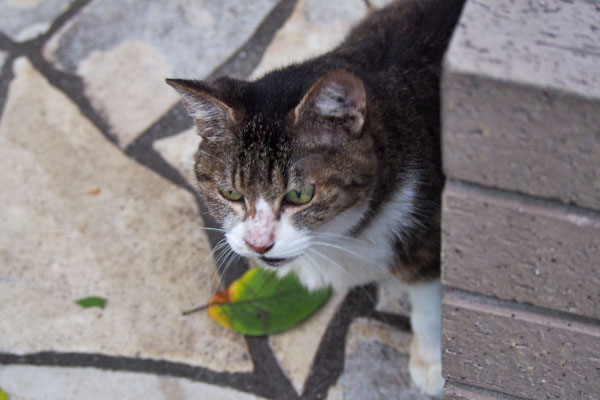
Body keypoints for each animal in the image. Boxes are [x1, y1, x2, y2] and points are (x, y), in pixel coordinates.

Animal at [166, 0, 466, 396]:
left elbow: (430, 304)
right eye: (230, 193)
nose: (258, 244)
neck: (343, 233)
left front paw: (433, 364)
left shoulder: (429, 233)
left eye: (300, 194)